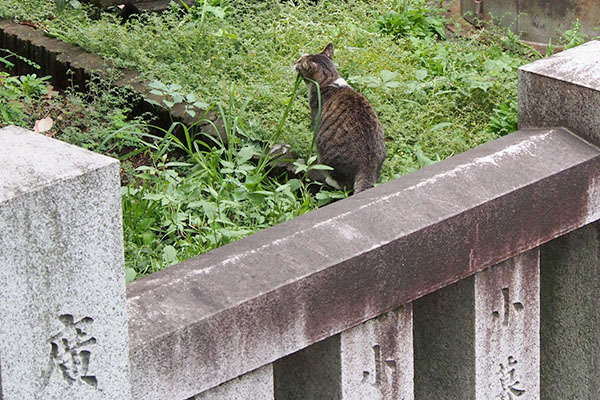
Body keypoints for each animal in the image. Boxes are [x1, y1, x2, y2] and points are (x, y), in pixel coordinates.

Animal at [294, 43, 384, 194]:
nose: (294, 62)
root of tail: (367, 167)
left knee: (342, 184)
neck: (330, 81)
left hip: (327, 155)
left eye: (300, 61)